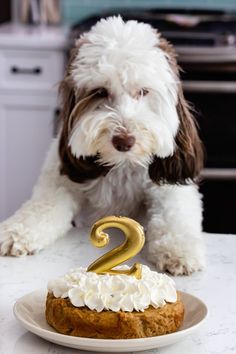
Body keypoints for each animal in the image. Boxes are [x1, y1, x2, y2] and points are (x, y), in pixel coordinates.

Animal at [0, 16, 205, 276]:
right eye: (100, 92)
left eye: (143, 91)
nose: (124, 140)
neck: (121, 165)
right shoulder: (60, 183)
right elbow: (41, 208)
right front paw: (14, 233)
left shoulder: (167, 186)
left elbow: (174, 215)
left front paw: (179, 251)